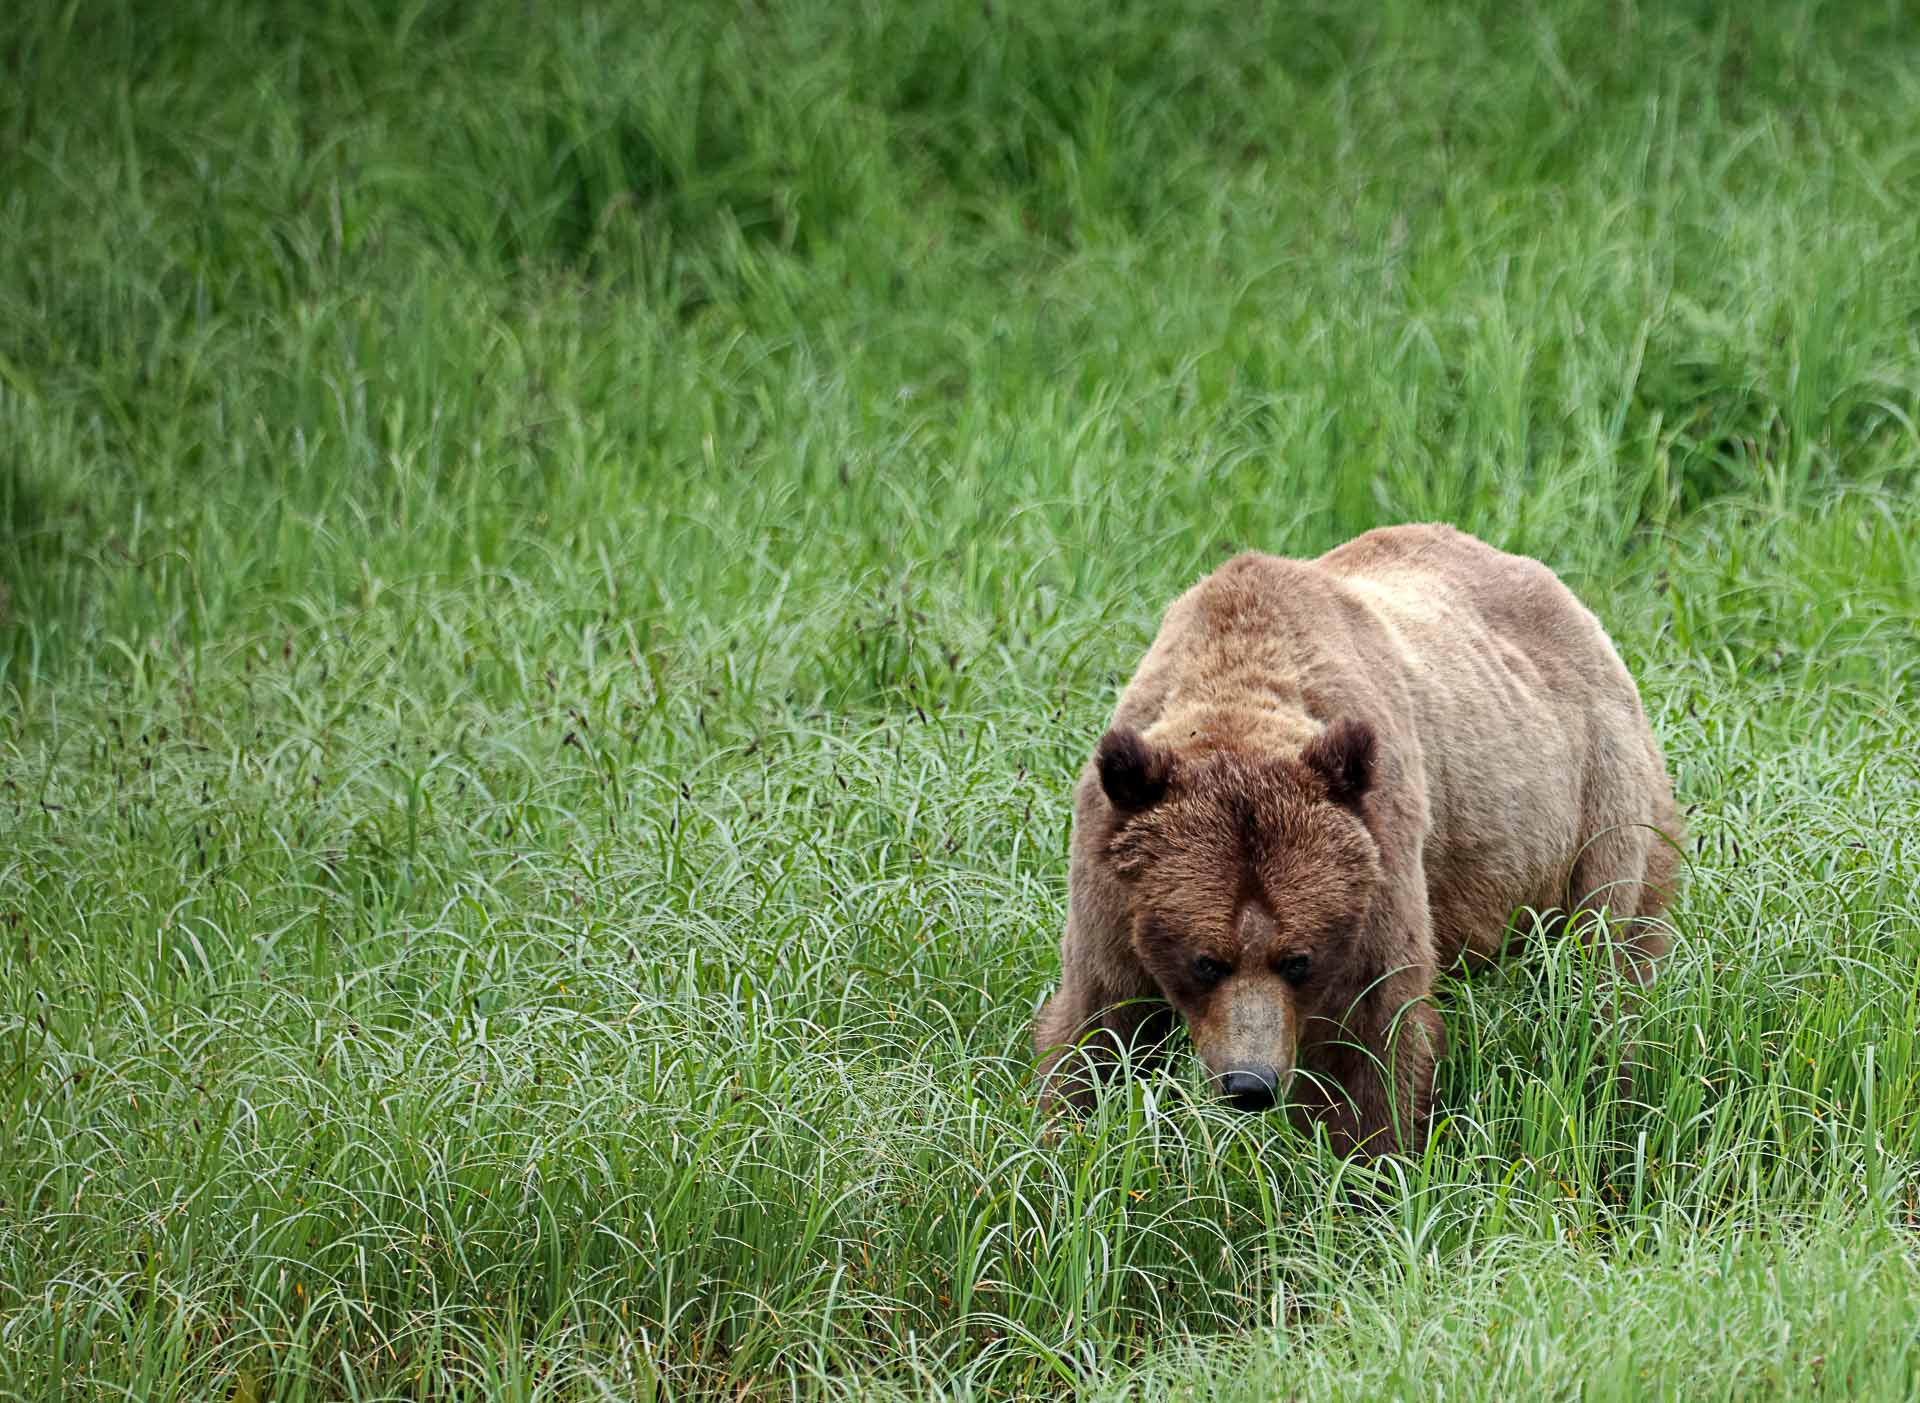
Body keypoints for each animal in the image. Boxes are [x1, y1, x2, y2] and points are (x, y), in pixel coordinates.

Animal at [1033, 523, 1682, 1155]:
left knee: (1604, 972)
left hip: (1595, 803)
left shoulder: (1376, 863)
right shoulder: (1110, 881)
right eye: (1205, 961)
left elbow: (1374, 1039)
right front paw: (1066, 1133)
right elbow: (1099, 1023)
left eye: (1298, 959)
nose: (1251, 1084)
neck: (1237, 683)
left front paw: (1371, 1160)